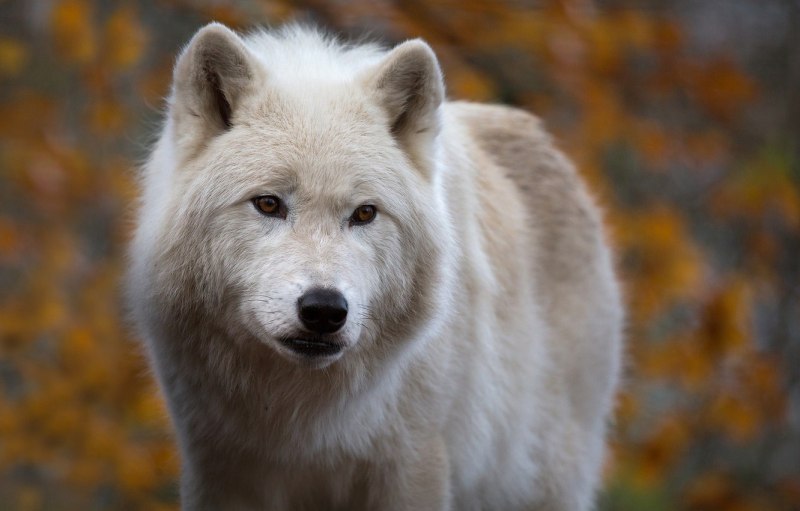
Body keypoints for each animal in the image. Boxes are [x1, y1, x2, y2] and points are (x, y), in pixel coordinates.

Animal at [127, 22, 623, 511]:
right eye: (268, 204)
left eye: (365, 213)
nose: (324, 310)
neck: (300, 417)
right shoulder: (221, 471)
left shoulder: (413, 469)